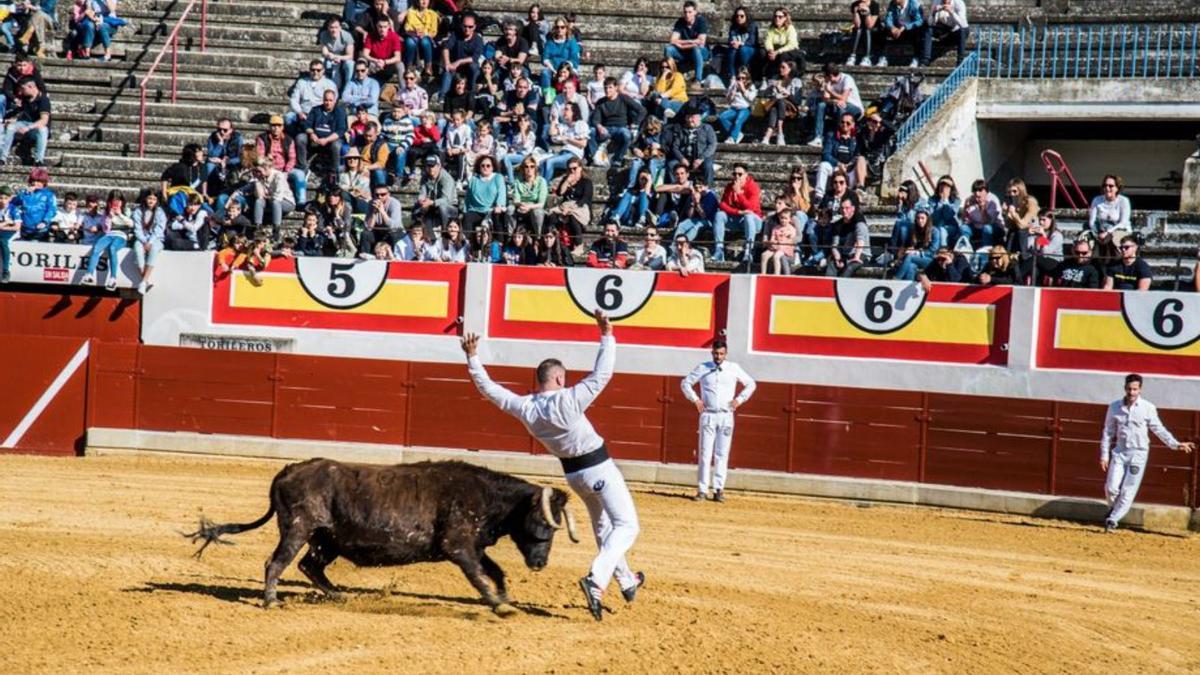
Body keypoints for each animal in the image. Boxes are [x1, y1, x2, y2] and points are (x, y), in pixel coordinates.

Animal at [183, 456, 580, 614]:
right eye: (545, 524)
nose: (540, 563)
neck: (486, 497)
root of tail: (288, 470)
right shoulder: (458, 546)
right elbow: (479, 576)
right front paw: (498, 605)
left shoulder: (473, 545)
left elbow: (495, 571)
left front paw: (506, 598)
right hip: (299, 527)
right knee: (276, 562)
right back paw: (271, 601)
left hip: (326, 539)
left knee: (310, 566)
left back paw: (340, 596)